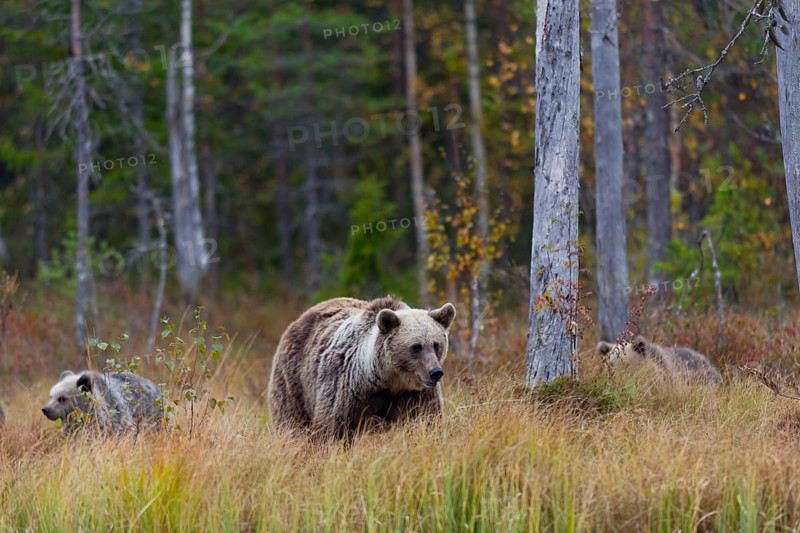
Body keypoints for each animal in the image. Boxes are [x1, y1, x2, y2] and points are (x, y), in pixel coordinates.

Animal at [268, 296, 456, 440]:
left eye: (436, 344)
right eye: (416, 347)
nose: (435, 373)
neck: (391, 381)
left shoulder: (416, 396)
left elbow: (426, 421)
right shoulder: (350, 391)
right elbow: (334, 429)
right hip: (294, 381)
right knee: (292, 424)